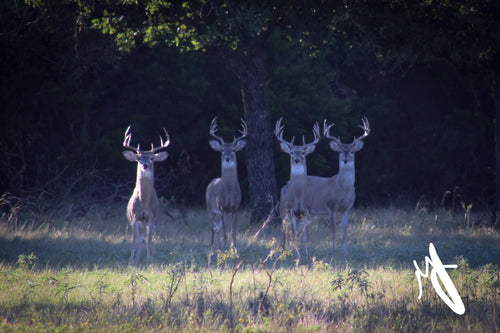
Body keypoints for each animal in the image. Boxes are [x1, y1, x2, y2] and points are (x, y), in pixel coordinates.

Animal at [121, 124, 170, 264]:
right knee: (139, 239)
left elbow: (148, 240)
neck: (143, 202)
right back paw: (136, 260)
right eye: (138, 158)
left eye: (152, 158)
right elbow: (133, 240)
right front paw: (131, 262)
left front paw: (150, 260)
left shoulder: (151, 218)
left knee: (143, 239)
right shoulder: (134, 217)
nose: (145, 165)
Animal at [206, 116, 247, 249]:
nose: (227, 158)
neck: (229, 193)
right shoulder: (222, 207)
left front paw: (234, 248)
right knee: (213, 228)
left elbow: (233, 231)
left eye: (233, 149)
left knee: (217, 229)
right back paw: (212, 247)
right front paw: (226, 248)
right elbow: (225, 232)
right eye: (222, 150)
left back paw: (218, 248)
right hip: (210, 209)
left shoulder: (236, 207)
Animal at [274, 118, 320, 258]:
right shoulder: (291, 211)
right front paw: (296, 255)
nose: (297, 159)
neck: (299, 197)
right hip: (282, 211)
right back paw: (282, 250)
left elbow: (305, 235)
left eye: (303, 152)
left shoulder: (307, 210)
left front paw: (307, 255)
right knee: (285, 230)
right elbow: (294, 234)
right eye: (291, 152)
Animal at [304, 116, 372, 256]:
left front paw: (346, 254)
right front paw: (334, 253)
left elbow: (345, 233)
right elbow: (333, 231)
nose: (345, 160)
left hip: (310, 211)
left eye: (352, 151)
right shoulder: (331, 206)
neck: (342, 189)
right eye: (340, 151)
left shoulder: (346, 208)